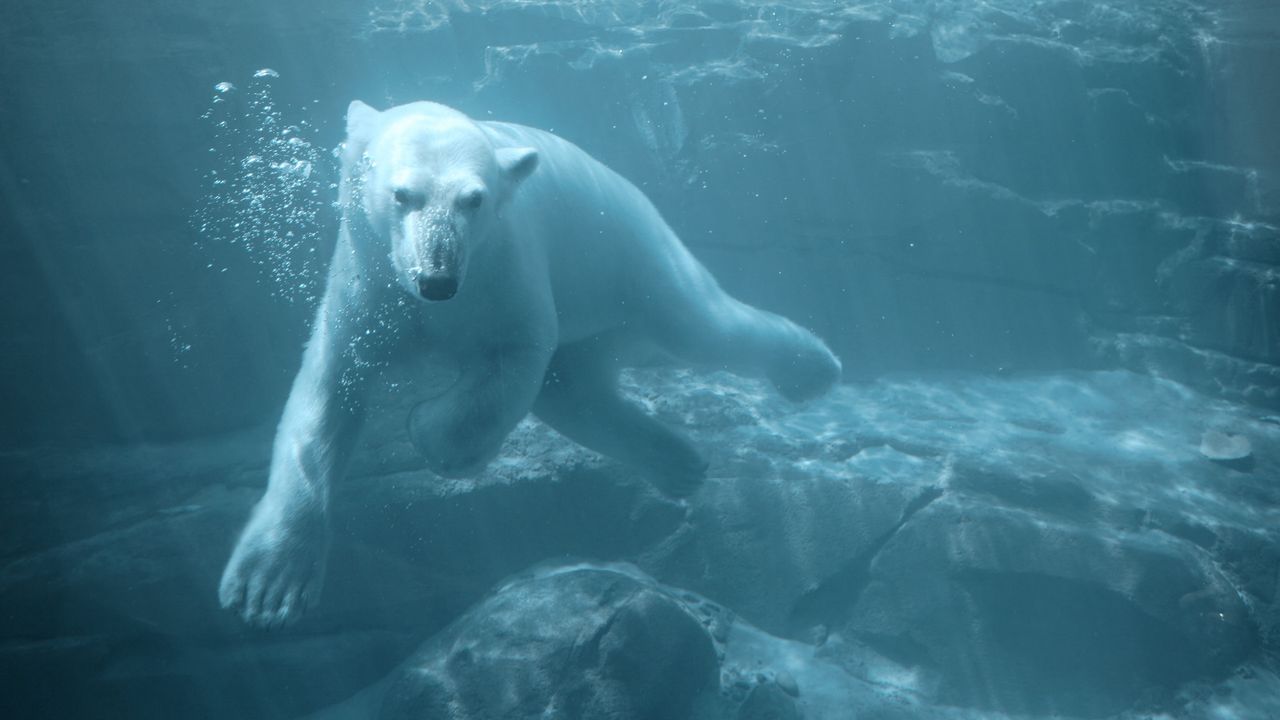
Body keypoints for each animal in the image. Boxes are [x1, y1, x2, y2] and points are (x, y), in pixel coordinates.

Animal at [219, 100, 841, 627]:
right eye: (402, 194)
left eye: (474, 199)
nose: (436, 280)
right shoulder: (365, 288)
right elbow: (326, 397)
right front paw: (269, 586)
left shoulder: (504, 269)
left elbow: (514, 358)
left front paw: (433, 437)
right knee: (575, 391)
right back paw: (679, 463)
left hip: (630, 257)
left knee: (702, 327)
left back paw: (812, 369)